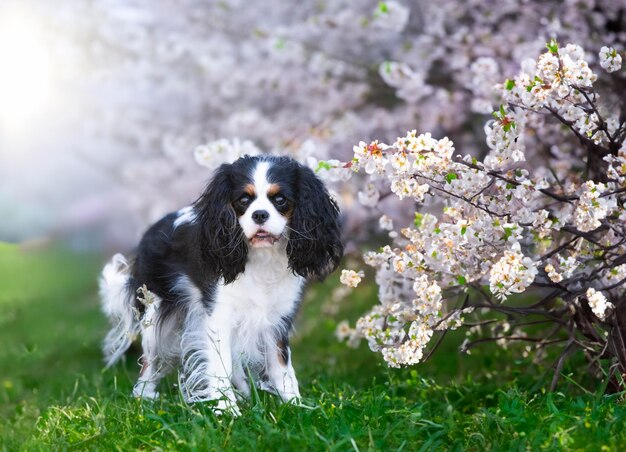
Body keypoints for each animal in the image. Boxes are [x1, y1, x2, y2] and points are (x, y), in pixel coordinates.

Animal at [98, 154, 342, 414]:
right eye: (243, 200)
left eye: (280, 200)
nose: (260, 214)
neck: (262, 259)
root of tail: (150, 232)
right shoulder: (218, 317)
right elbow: (220, 364)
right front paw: (227, 410)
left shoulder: (276, 321)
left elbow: (282, 367)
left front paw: (295, 406)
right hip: (154, 315)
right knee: (149, 360)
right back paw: (144, 396)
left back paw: (244, 394)